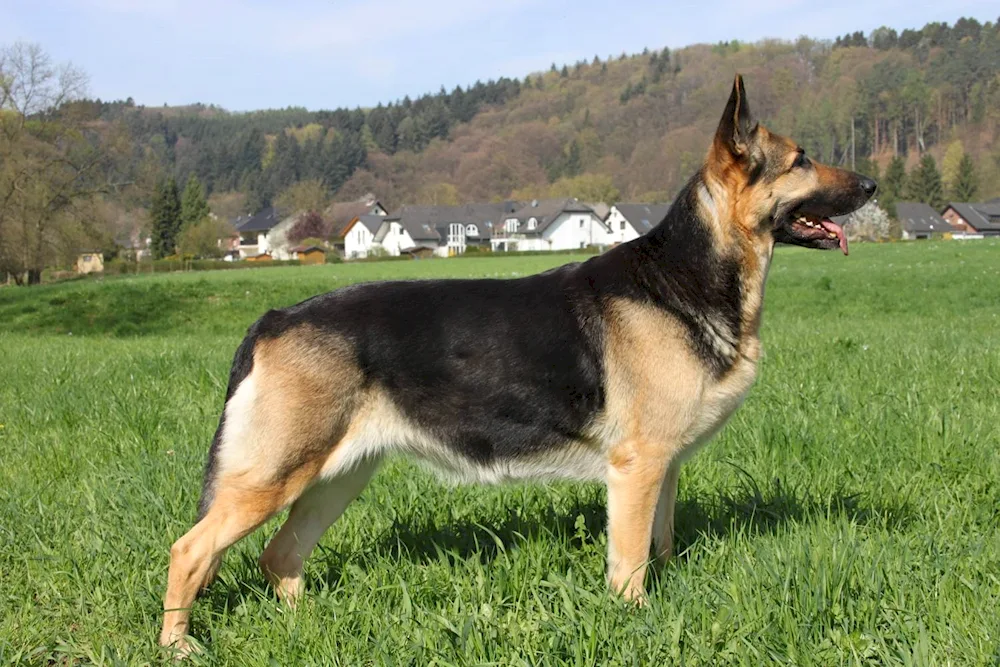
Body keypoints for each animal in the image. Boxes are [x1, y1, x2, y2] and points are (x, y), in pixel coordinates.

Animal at [158, 74, 876, 652]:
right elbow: (630, 566)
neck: (686, 274)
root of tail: (275, 316)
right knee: (190, 549)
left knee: (279, 556)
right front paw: (634, 621)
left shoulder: (663, 470)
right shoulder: (637, 470)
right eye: (802, 159)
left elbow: (660, 548)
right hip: (274, 478)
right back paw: (178, 644)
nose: (873, 184)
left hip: (336, 477)